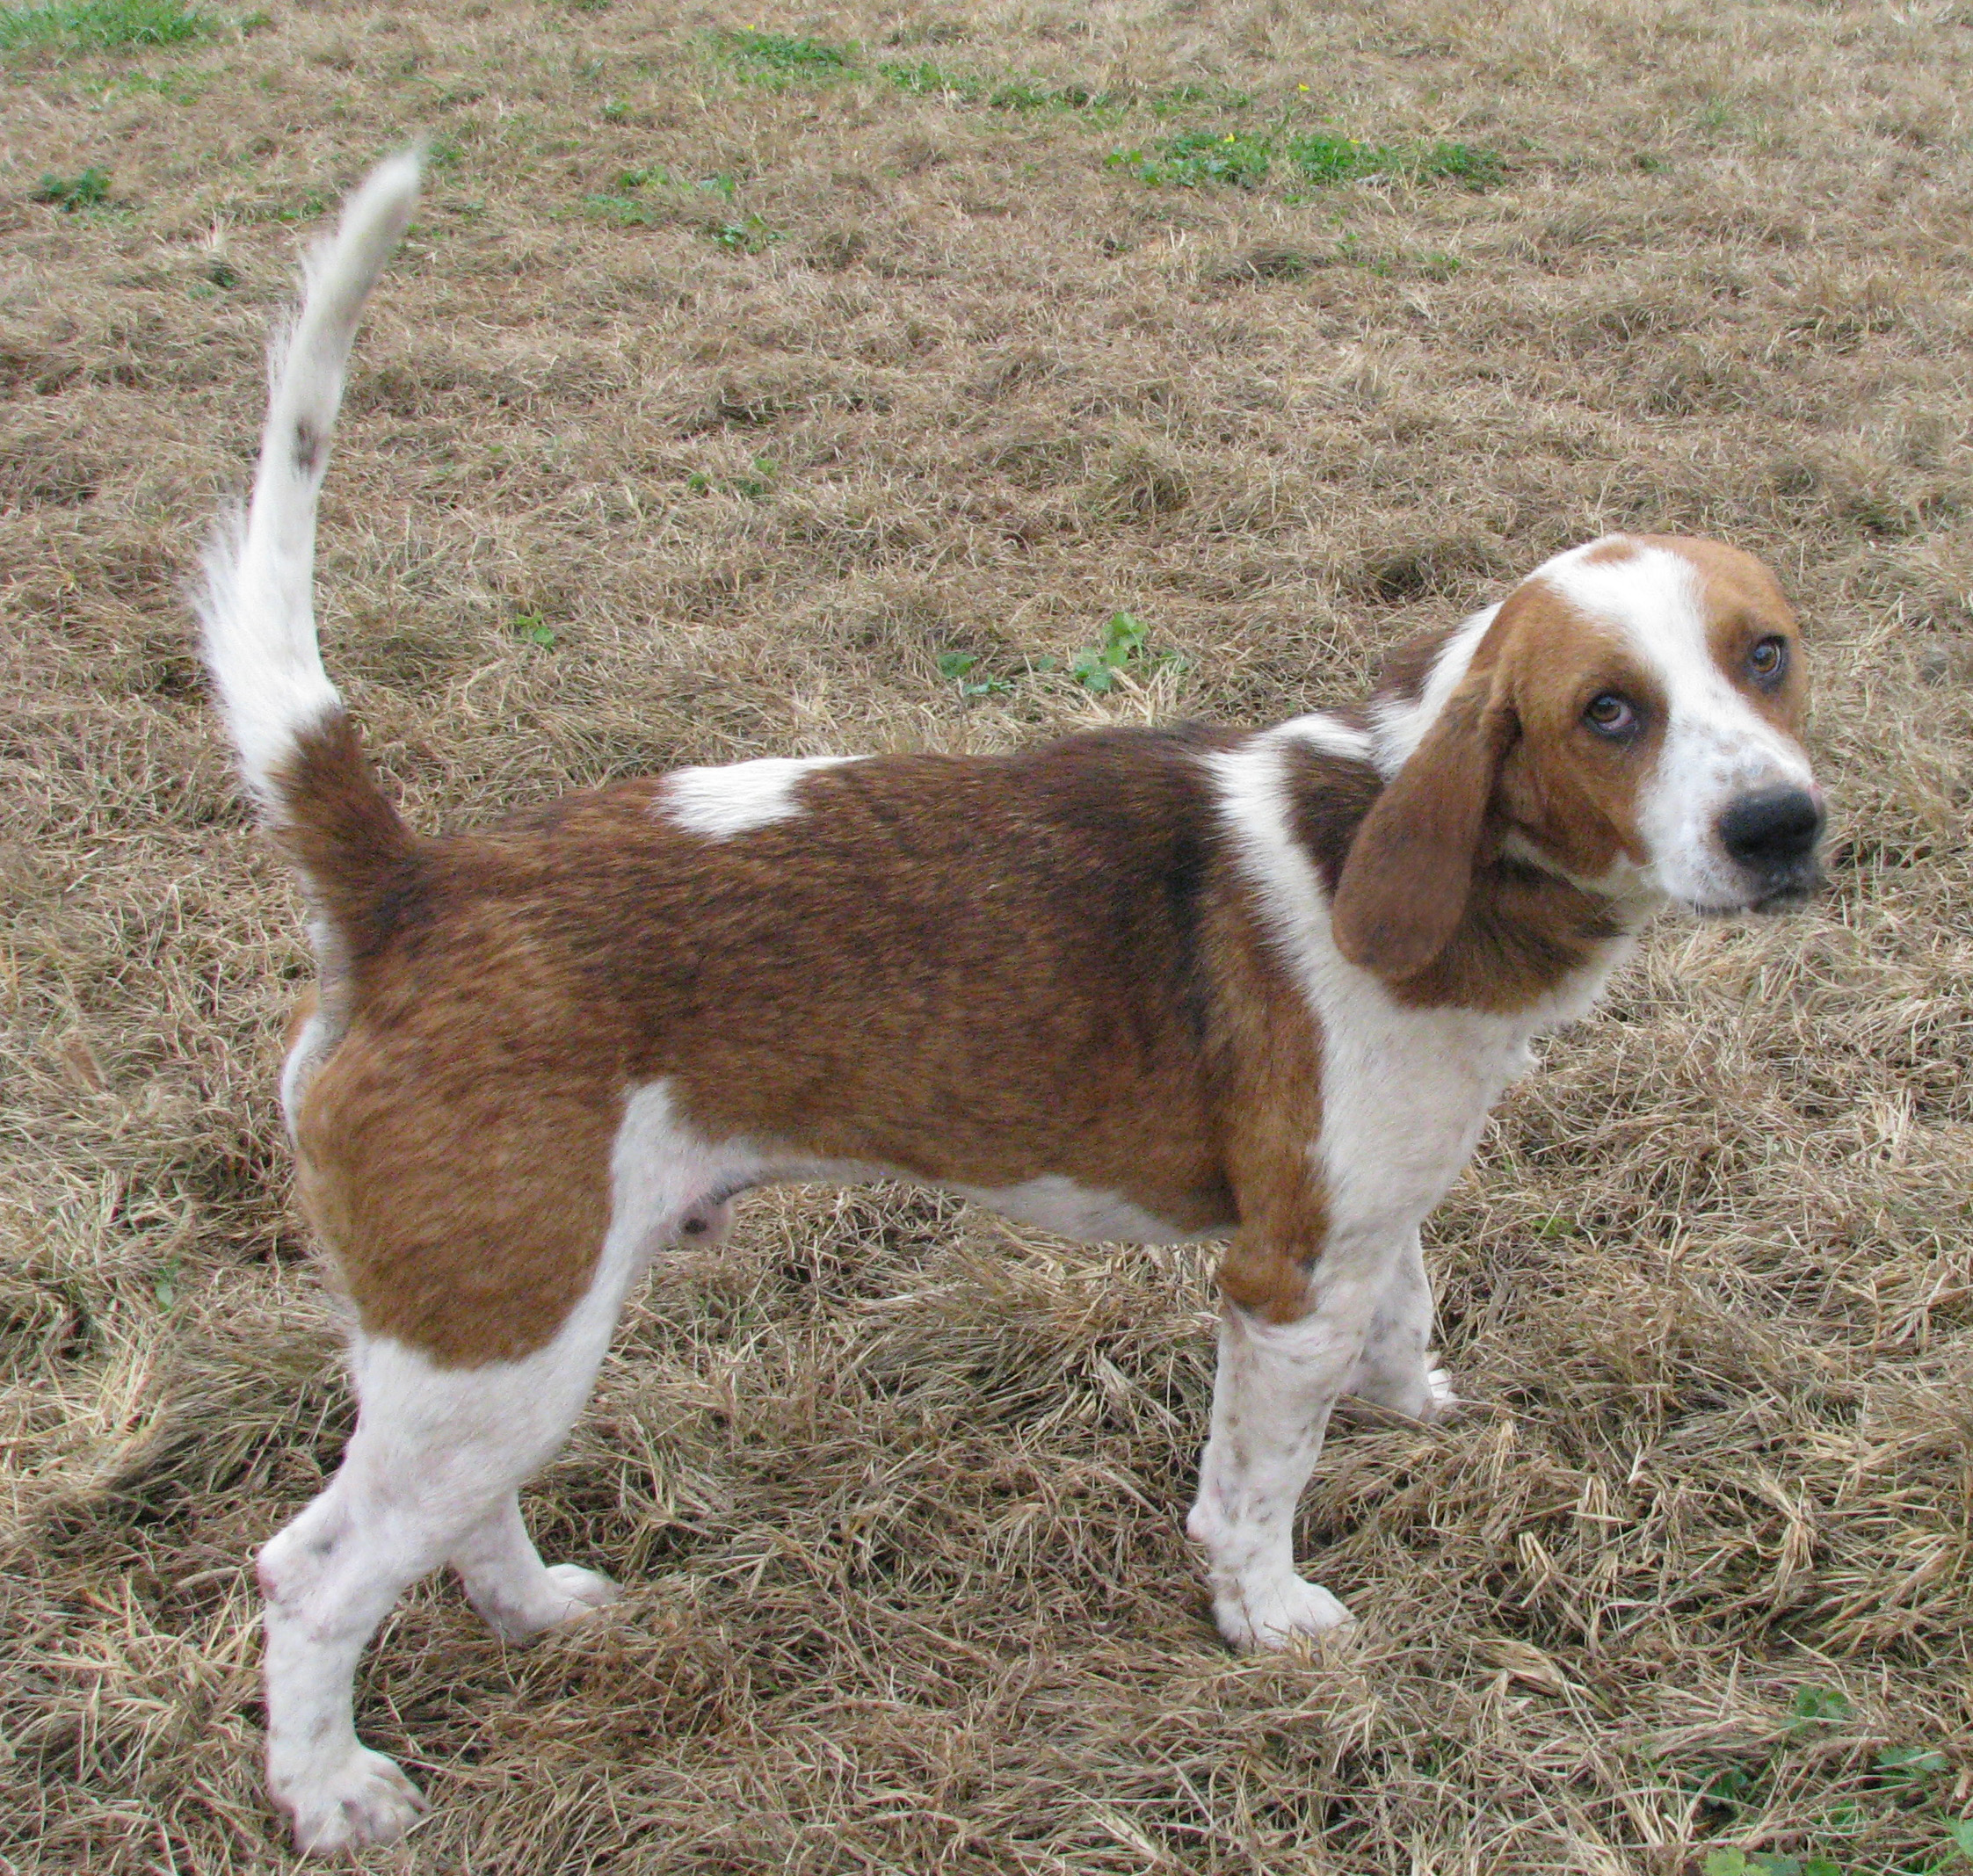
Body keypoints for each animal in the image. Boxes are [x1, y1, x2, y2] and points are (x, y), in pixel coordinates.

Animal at [192, 157, 1823, 1846]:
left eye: (1767, 654)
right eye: (1607, 713)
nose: (1783, 829)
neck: (1395, 829)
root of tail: (409, 887)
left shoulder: (1371, 1218)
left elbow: (1405, 1313)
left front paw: (1412, 1401)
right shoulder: (1280, 1281)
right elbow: (1254, 1486)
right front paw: (1267, 1620)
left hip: (492, 1344)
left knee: (457, 1517)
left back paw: (533, 1612)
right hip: (501, 1343)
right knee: (309, 1577)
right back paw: (331, 1792)